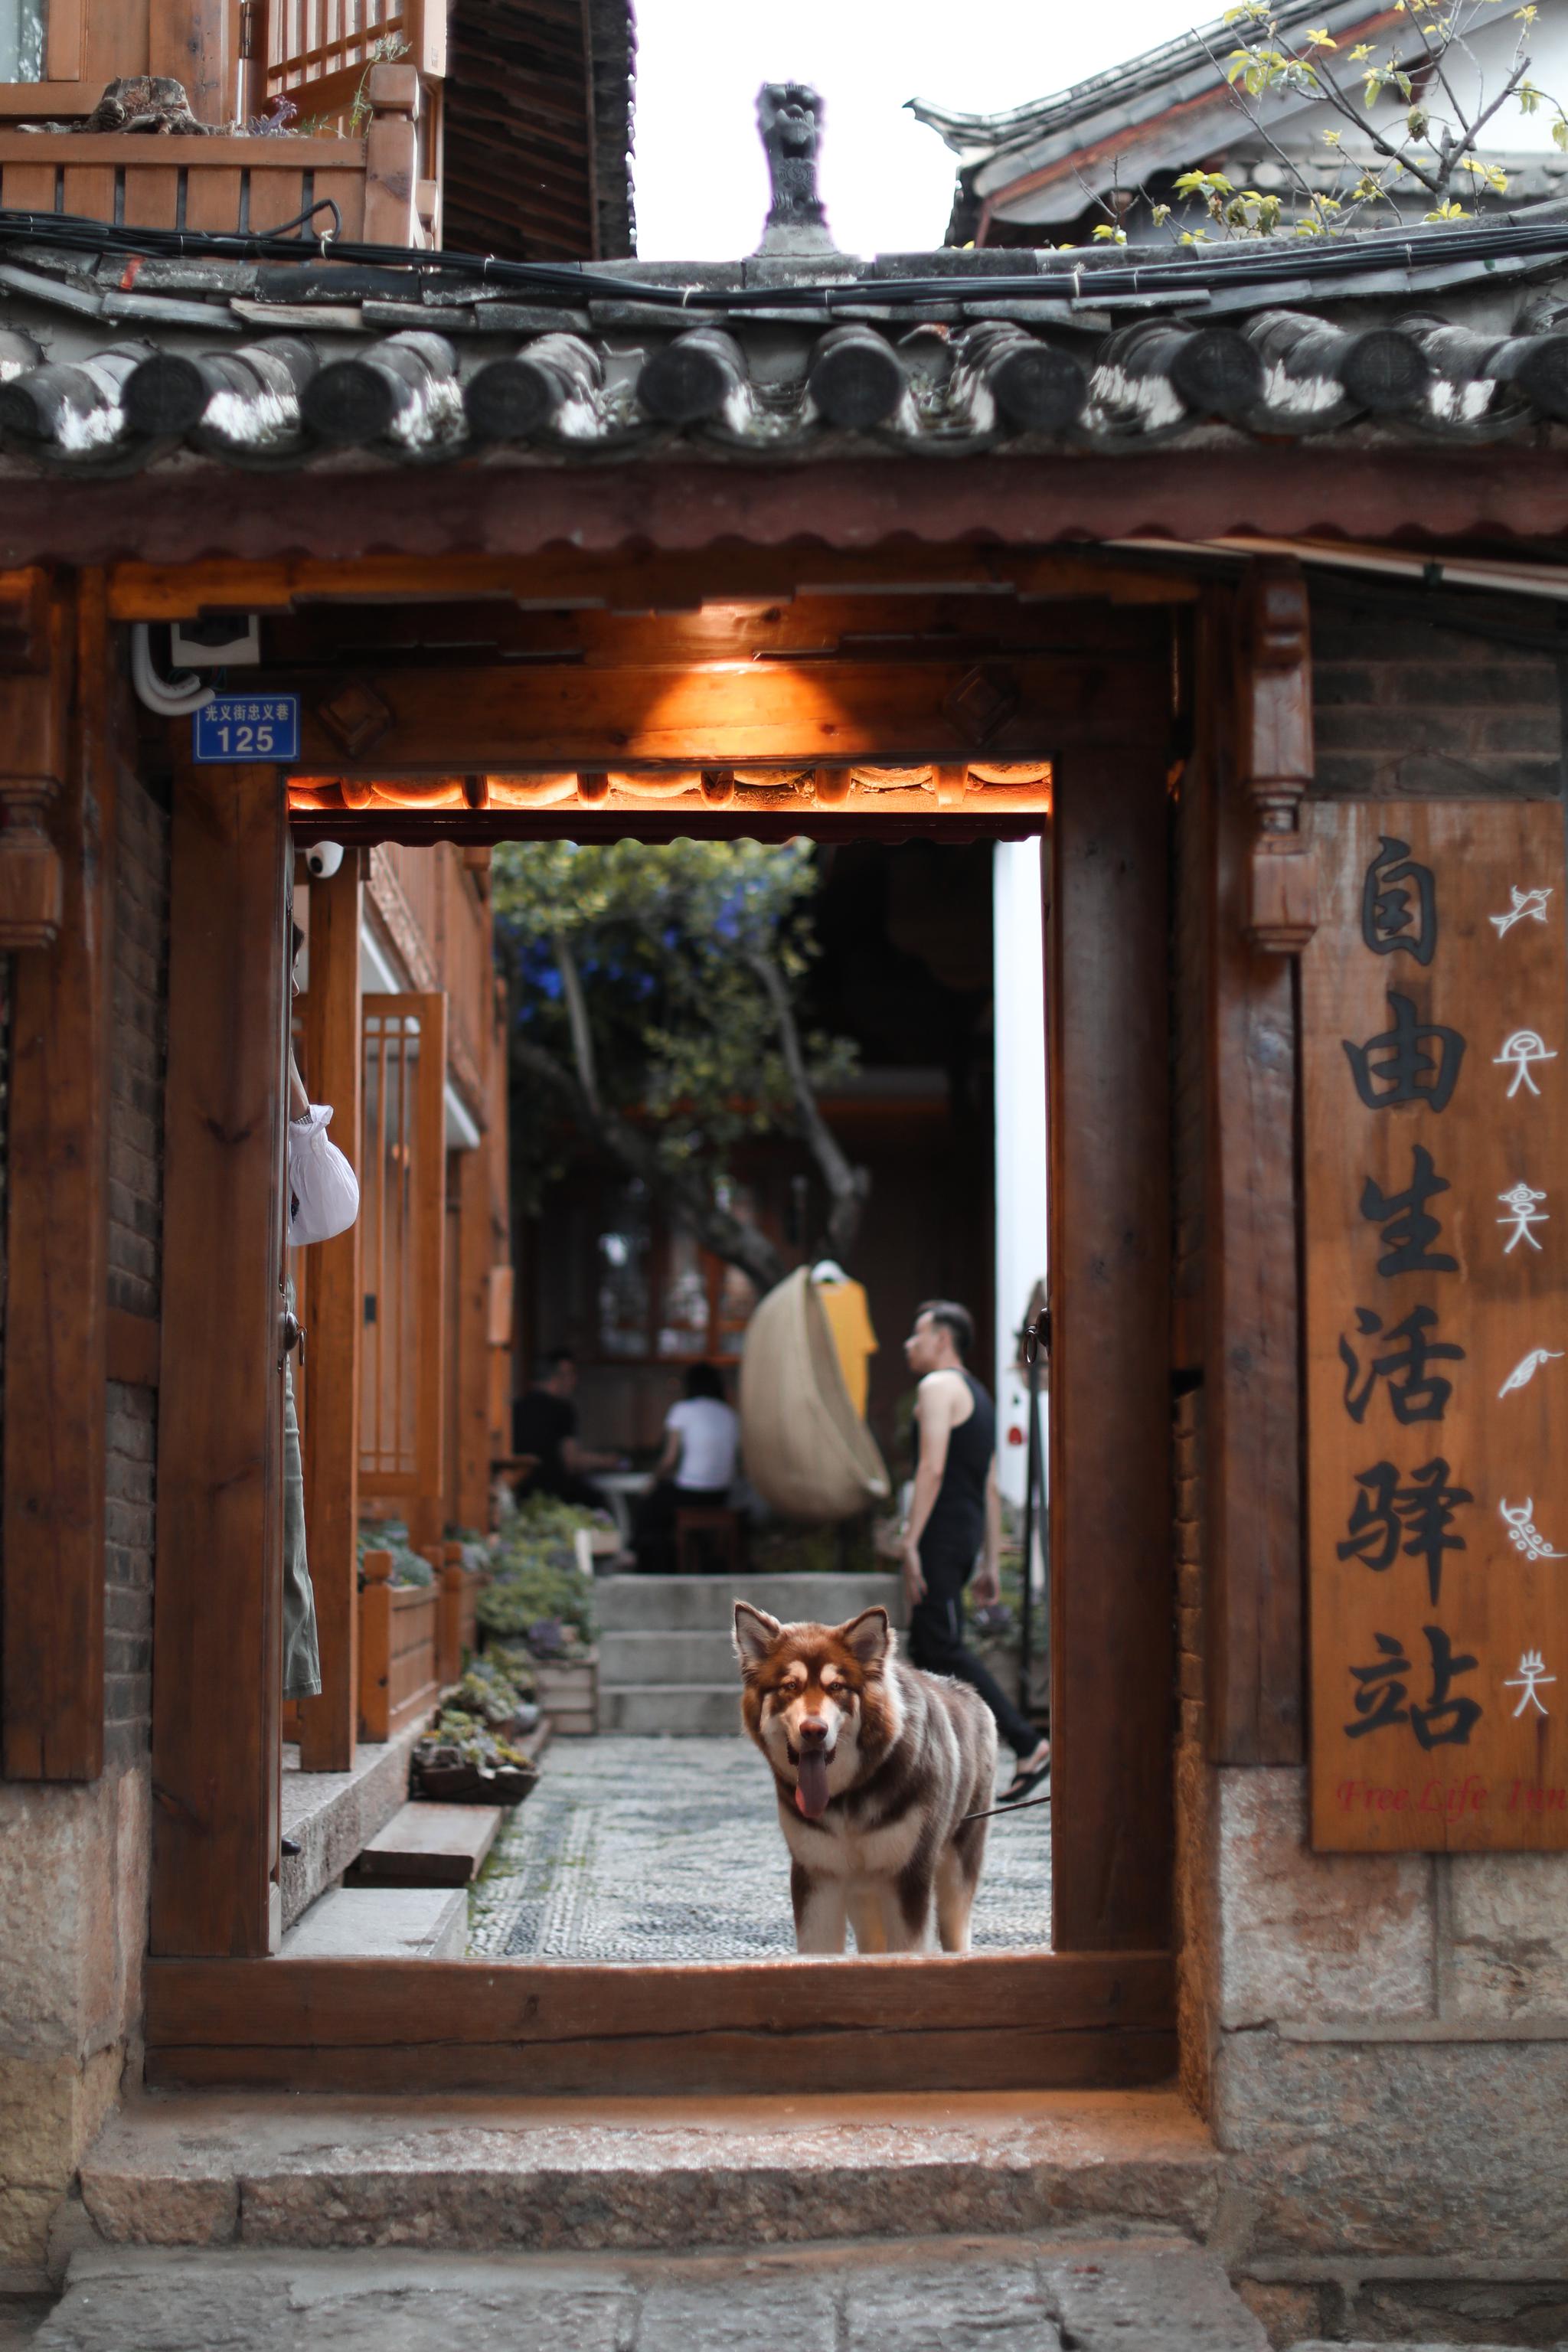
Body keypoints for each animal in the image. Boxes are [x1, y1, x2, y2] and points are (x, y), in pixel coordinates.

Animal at [733, 1589, 991, 1956]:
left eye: (837, 1686)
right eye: (791, 1686)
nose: (814, 1730)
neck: (849, 1796)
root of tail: (967, 1689)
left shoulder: (909, 1875)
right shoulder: (818, 1876)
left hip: (956, 1867)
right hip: (863, 1890)